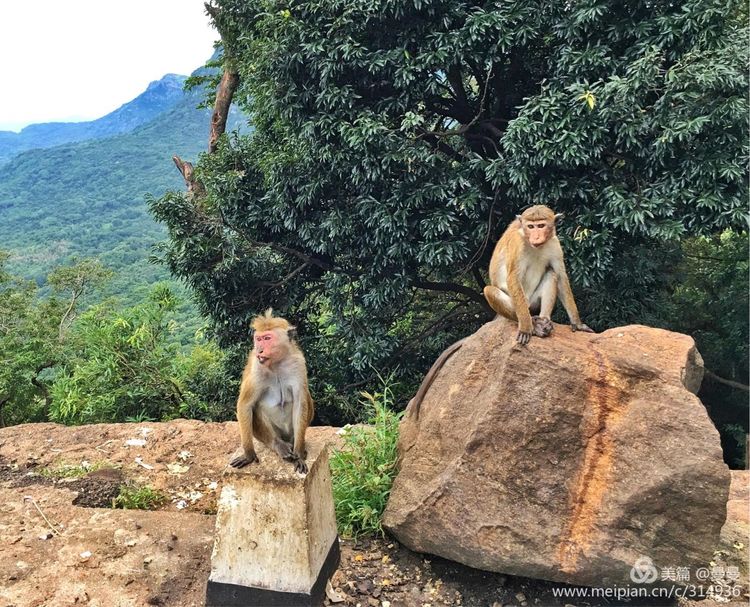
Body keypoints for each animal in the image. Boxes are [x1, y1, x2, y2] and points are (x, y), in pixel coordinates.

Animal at [228, 308, 312, 476]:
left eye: (267, 338)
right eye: (258, 339)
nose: (259, 349)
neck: (276, 363)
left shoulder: (298, 363)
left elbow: (300, 402)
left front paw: (299, 455)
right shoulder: (256, 367)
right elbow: (245, 405)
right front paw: (249, 455)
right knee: (256, 407)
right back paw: (278, 445)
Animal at [484, 205, 596, 344]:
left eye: (541, 225)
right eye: (531, 227)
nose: (536, 237)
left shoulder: (554, 244)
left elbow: (560, 277)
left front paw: (577, 323)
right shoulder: (517, 244)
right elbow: (513, 278)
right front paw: (525, 328)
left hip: (533, 303)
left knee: (551, 274)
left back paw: (544, 321)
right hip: (520, 305)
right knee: (489, 290)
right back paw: (534, 325)